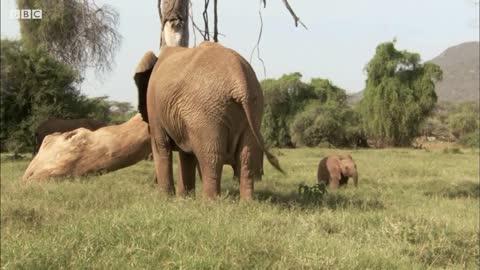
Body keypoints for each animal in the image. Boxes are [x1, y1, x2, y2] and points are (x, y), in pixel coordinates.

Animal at [134, 41, 284, 199]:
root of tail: (240, 79)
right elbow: (186, 154)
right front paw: (184, 199)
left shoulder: (153, 105)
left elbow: (161, 145)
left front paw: (166, 199)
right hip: (254, 107)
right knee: (245, 156)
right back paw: (247, 201)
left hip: (206, 113)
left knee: (211, 156)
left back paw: (210, 201)